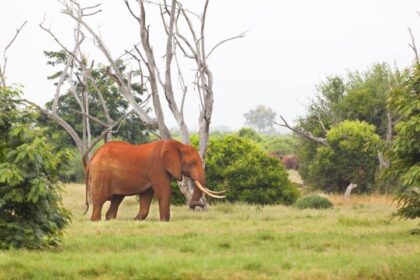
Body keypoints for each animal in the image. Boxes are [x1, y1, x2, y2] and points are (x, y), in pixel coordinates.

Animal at [83, 139, 225, 221]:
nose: (201, 205)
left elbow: (147, 196)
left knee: (116, 200)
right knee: (99, 201)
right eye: (193, 162)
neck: (177, 145)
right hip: (101, 175)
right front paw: (165, 221)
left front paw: (136, 220)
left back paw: (111, 220)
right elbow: (164, 192)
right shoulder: (158, 168)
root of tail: (91, 160)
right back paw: (96, 221)